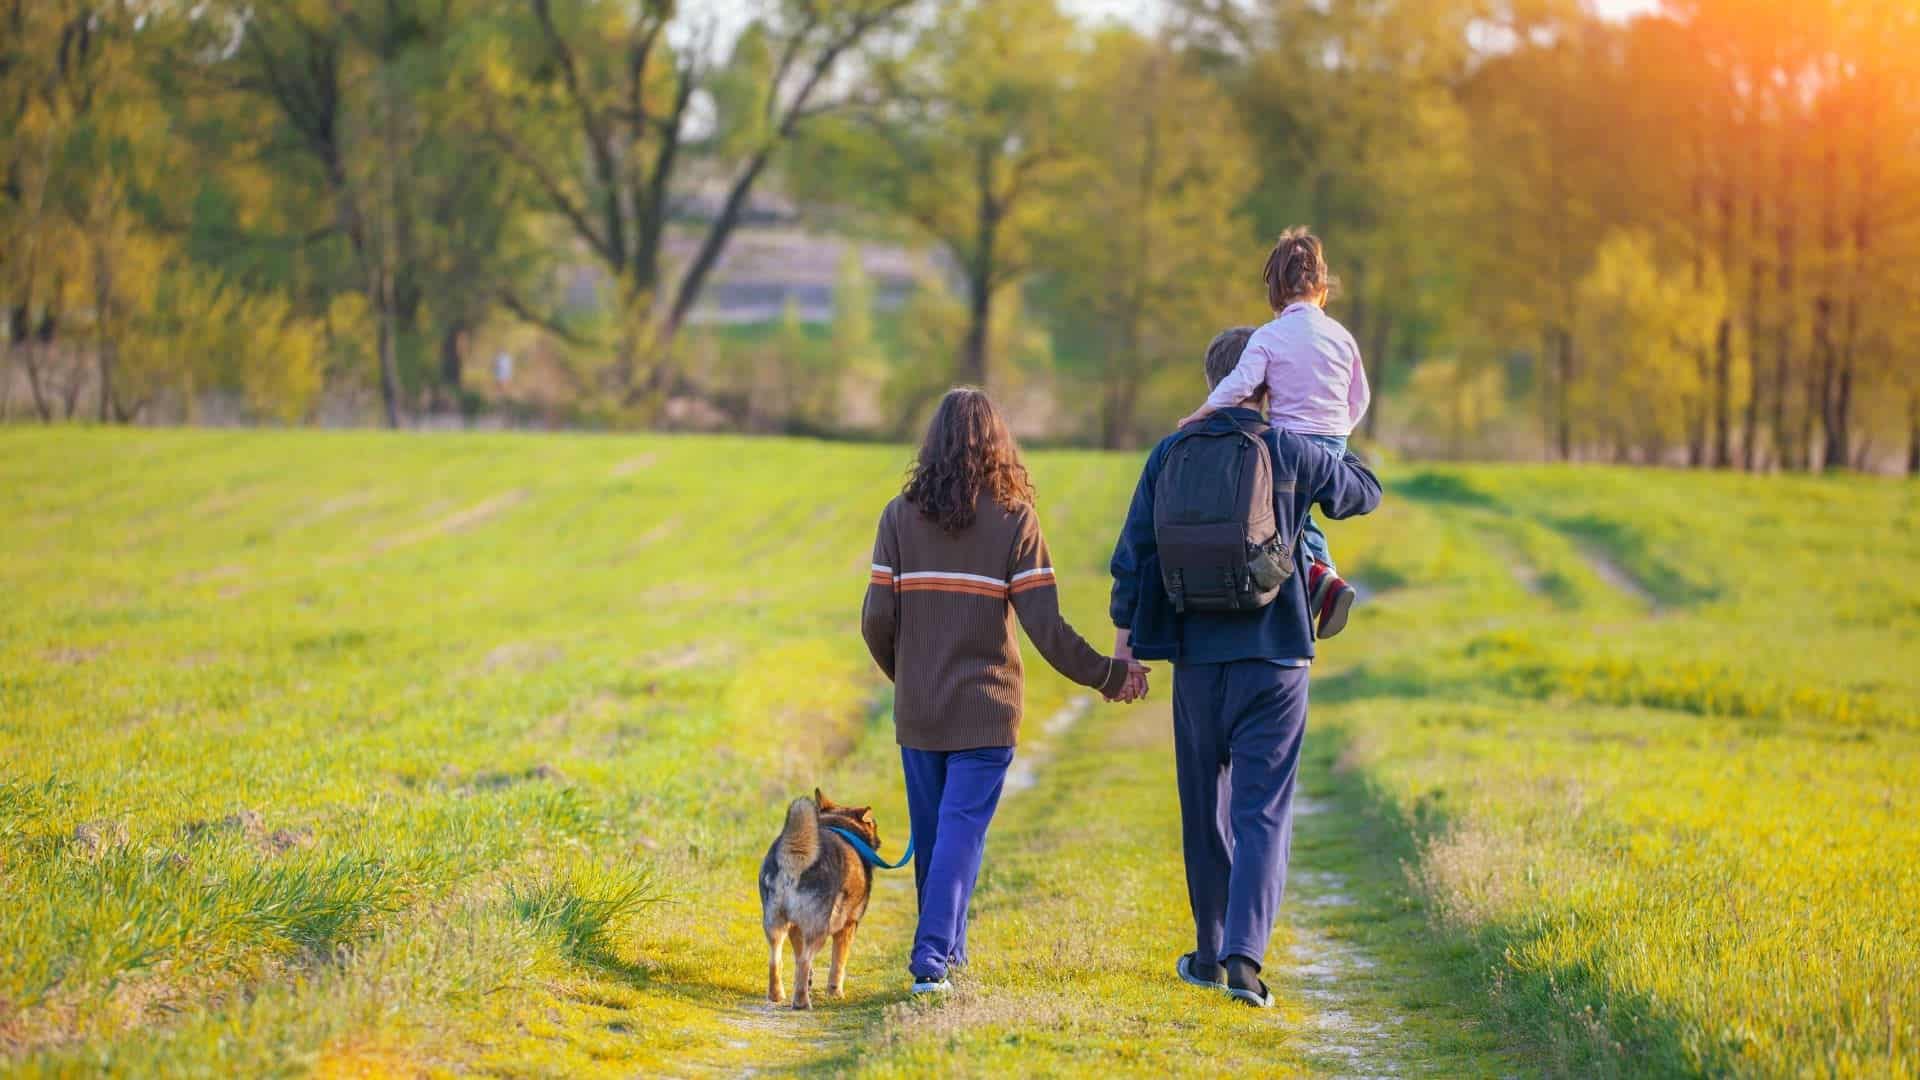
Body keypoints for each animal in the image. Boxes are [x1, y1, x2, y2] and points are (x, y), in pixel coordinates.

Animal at [764, 787, 883, 1006]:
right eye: (873, 824)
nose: (880, 841)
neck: (838, 824)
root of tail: (797, 854)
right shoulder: (848, 926)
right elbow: (838, 963)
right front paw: (835, 993)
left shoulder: (796, 927)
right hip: (820, 929)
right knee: (804, 961)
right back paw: (801, 1003)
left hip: (775, 924)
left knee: (776, 960)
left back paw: (777, 995)